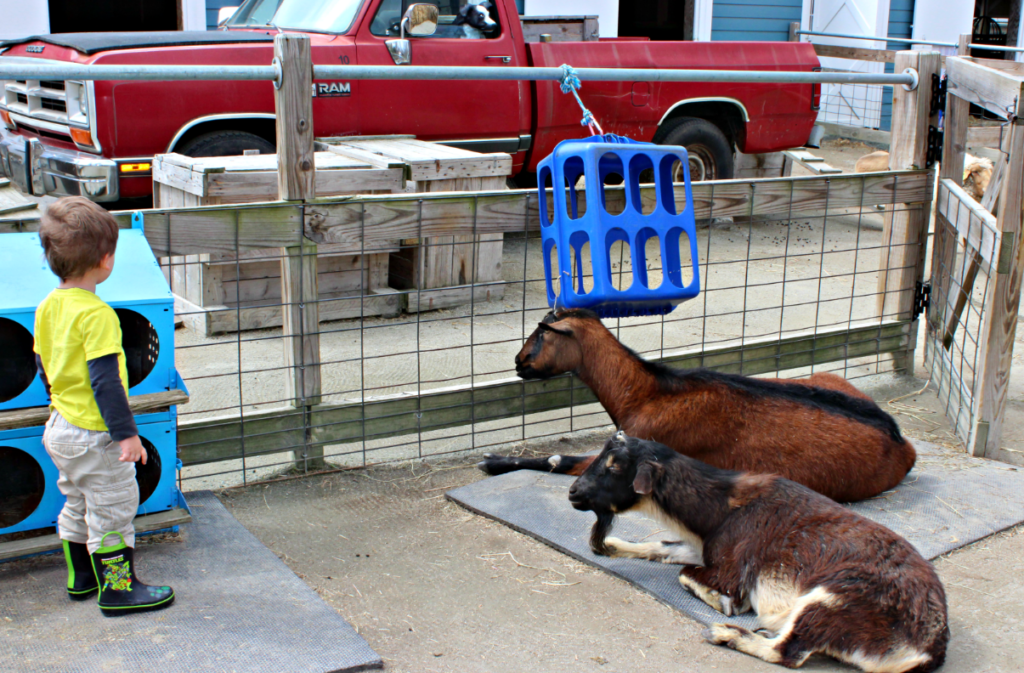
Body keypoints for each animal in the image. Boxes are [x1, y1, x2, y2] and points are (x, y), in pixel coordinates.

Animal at [479, 307, 921, 501]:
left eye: (541, 332)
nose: (518, 362)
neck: (648, 392)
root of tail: (904, 442)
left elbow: (563, 462)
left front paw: (491, 462)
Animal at [573, 432, 946, 667]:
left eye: (614, 465)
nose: (574, 492)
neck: (722, 508)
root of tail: (928, 647)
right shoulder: (705, 547)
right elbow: (665, 547)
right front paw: (612, 545)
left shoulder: (730, 570)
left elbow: (687, 575)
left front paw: (724, 605)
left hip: (831, 599)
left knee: (788, 653)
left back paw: (728, 634)